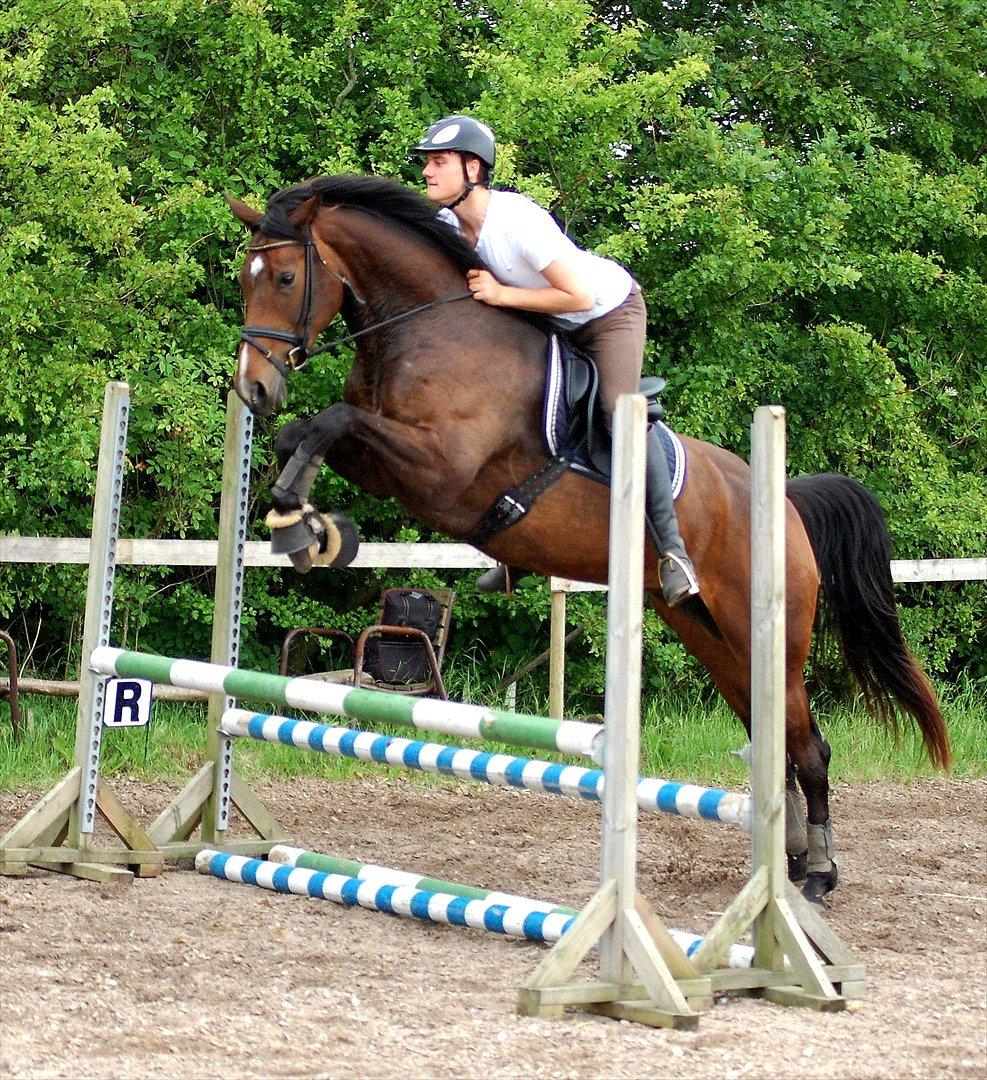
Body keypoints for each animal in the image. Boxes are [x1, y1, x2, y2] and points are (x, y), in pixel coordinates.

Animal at [226, 174, 950, 902]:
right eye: (243, 279)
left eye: (286, 277)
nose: (252, 388)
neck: (426, 326)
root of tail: (786, 505)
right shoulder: (390, 465)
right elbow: (305, 433)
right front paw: (307, 528)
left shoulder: (442, 469)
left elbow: (333, 420)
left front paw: (302, 525)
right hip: (707, 631)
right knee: (771, 736)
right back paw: (792, 861)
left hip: (768, 628)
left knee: (807, 746)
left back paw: (817, 874)